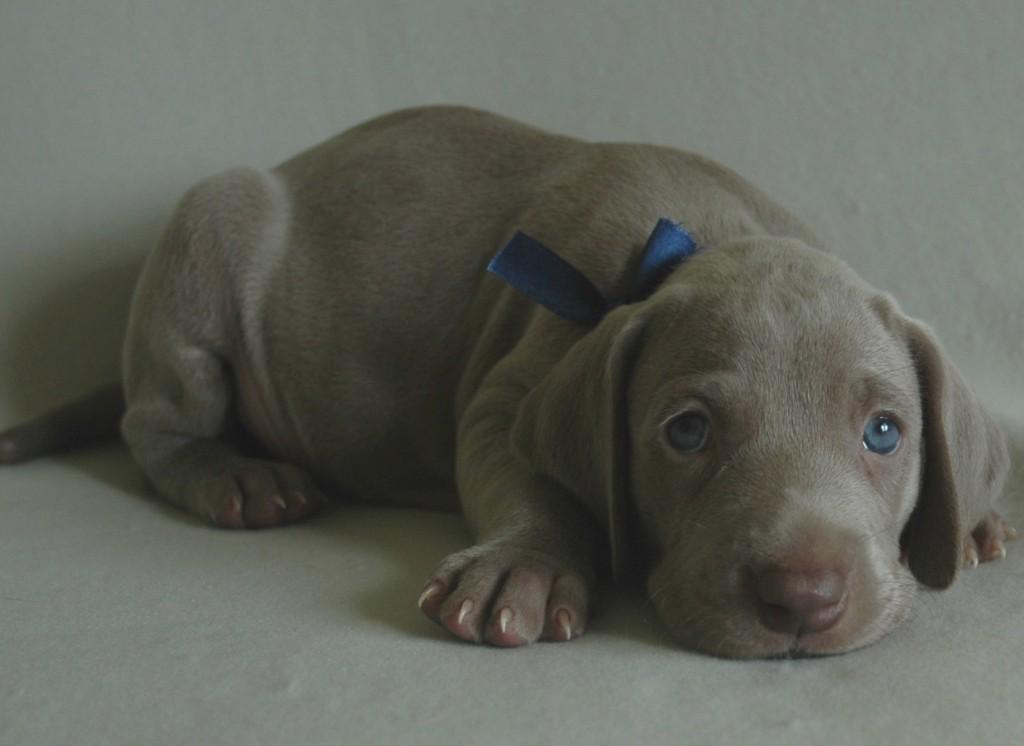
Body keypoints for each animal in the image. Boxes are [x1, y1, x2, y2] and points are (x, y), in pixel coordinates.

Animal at [0, 105, 1015, 658]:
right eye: (686, 432)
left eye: (885, 432)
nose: (804, 598)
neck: (710, 234)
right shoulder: (506, 394)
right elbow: (532, 481)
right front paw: (521, 568)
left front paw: (969, 520)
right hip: (205, 239)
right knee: (155, 423)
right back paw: (238, 477)